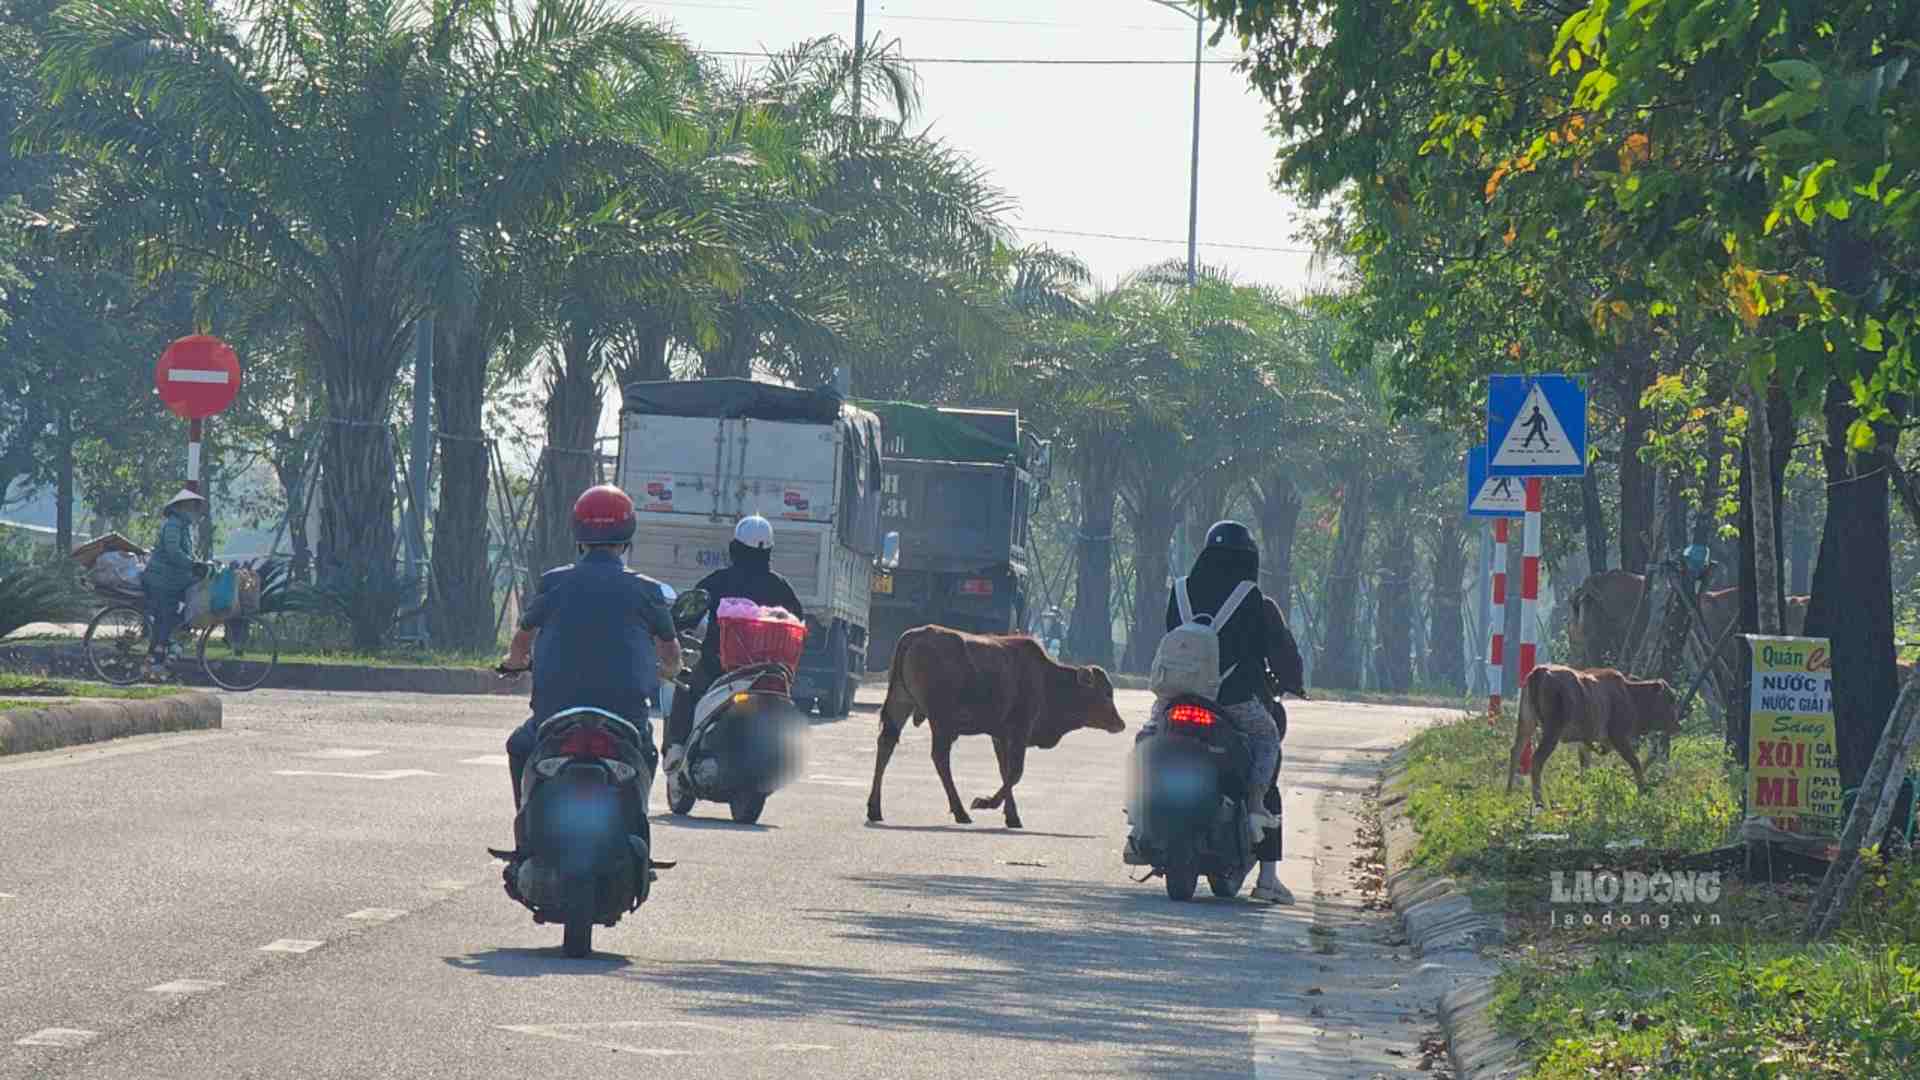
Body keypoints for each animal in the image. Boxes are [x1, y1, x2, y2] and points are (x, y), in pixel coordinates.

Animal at [867, 622, 1121, 822]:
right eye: (1106, 693)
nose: (1120, 723)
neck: (1045, 678)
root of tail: (917, 635)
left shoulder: (1000, 736)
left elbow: (1004, 771)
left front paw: (1012, 815)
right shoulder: (1020, 729)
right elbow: (1015, 772)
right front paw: (986, 802)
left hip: (900, 703)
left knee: (886, 745)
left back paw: (874, 808)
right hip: (941, 721)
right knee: (940, 758)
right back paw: (960, 811)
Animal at [1497, 661, 1681, 803]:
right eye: (1670, 699)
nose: (1677, 726)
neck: (1630, 695)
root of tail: (1540, 671)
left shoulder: (1584, 742)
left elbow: (1585, 771)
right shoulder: (1619, 737)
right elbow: (1636, 763)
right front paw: (1642, 791)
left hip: (1526, 724)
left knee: (1516, 751)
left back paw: (1508, 792)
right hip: (1551, 732)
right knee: (1536, 760)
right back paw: (1539, 801)